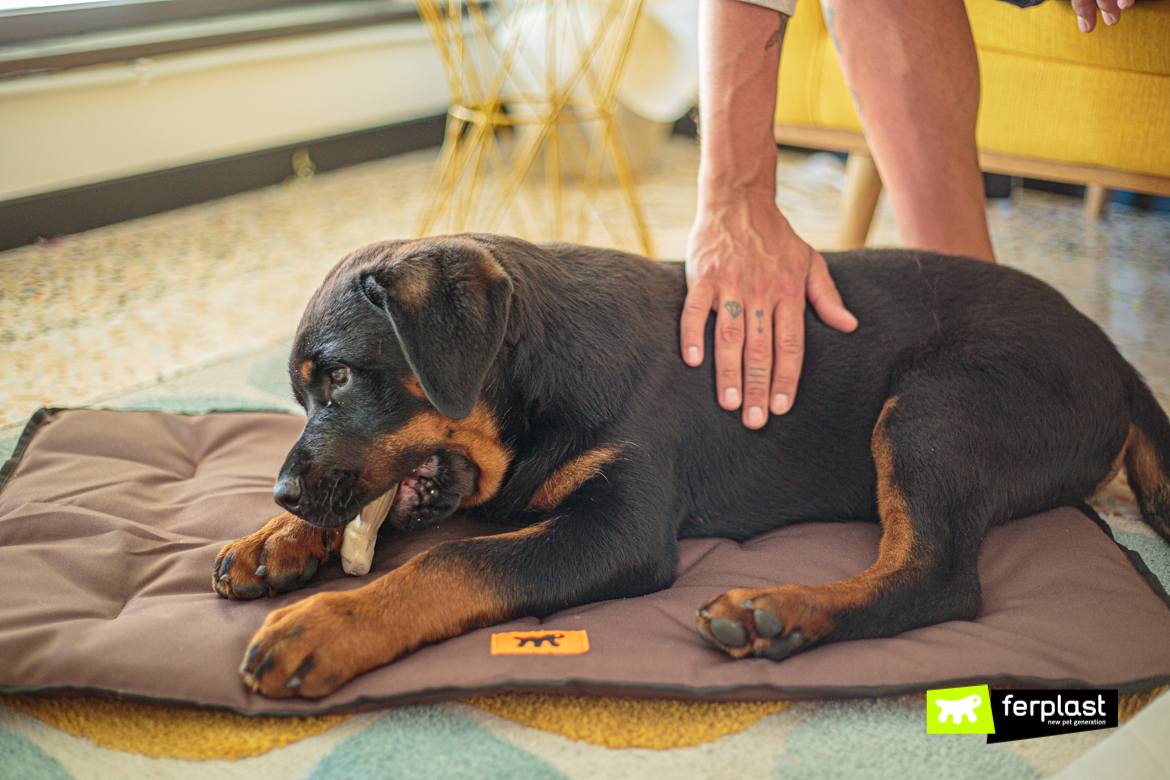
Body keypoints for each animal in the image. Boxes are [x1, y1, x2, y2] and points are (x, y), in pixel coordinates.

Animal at [212, 235, 1170, 696]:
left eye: (340, 378)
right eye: (298, 393)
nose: (282, 488)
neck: (540, 379)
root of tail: (1116, 358)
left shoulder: (621, 528)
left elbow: (456, 560)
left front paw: (327, 623)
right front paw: (276, 539)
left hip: (939, 405)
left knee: (938, 579)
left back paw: (777, 611)